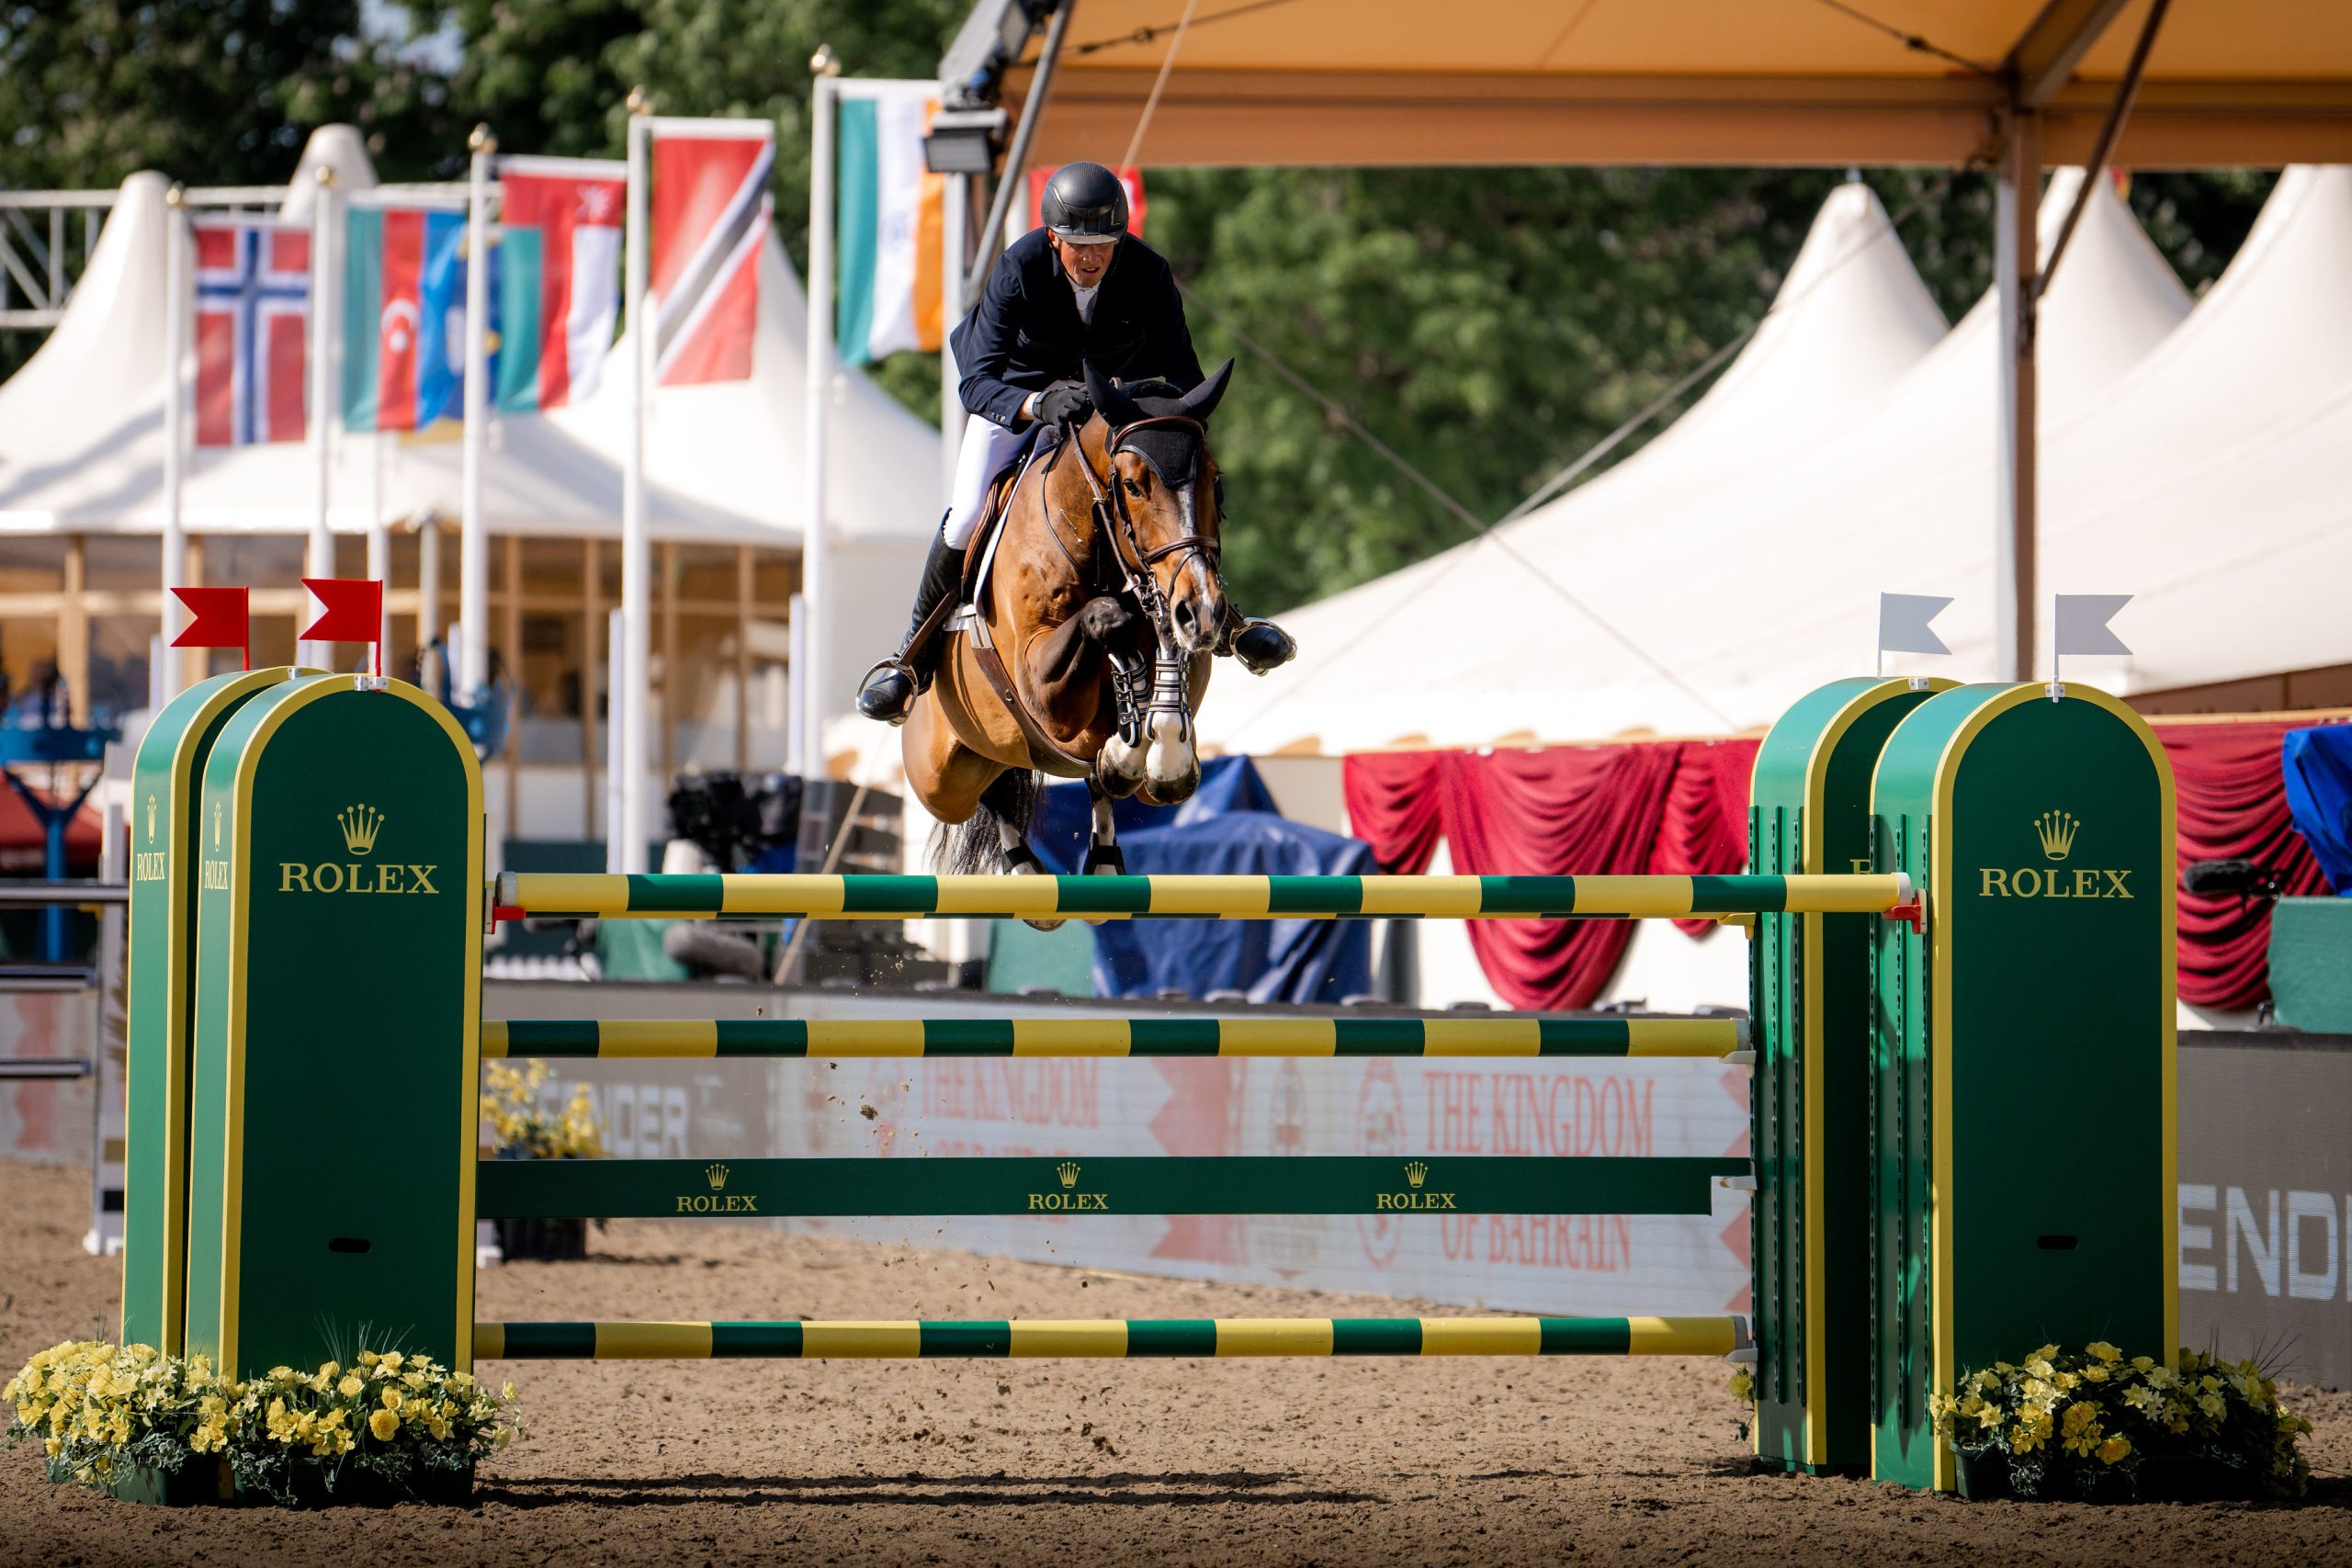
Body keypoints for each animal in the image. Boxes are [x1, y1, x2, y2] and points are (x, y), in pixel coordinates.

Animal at [903, 360, 1238, 901]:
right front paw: (1131, 738)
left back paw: (1101, 858)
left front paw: (1162, 753)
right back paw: (1026, 871)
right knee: (991, 792)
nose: (1204, 608)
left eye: (1214, 480)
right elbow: (1105, 618)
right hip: (939, 781)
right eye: (1133, 485)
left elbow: (1163, 662)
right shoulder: (1042, 690)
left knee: (1073, 784)